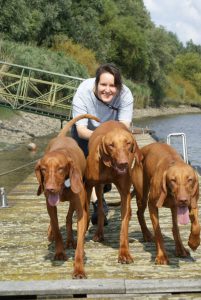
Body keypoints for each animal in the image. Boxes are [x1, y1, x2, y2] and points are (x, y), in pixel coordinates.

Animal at [35, 113, 99, 278]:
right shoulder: (50, 206)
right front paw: (59, 252)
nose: (50, 189)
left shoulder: (81, 210)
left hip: (74, 201)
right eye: (43, 169)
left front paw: (79, 268)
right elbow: (57, 228)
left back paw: (70, 240)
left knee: (69, 217)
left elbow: (80, 242)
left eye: (60, 168)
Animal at [85, 119, 143, 262]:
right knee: (100, 207)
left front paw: (124, 252)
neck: (110, 167)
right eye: (111, 145)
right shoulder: (88, 186)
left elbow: (124, 223)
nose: (123, 163)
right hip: (98, 187)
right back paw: (99, 233)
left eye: (128, 143)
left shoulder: (125, 192)